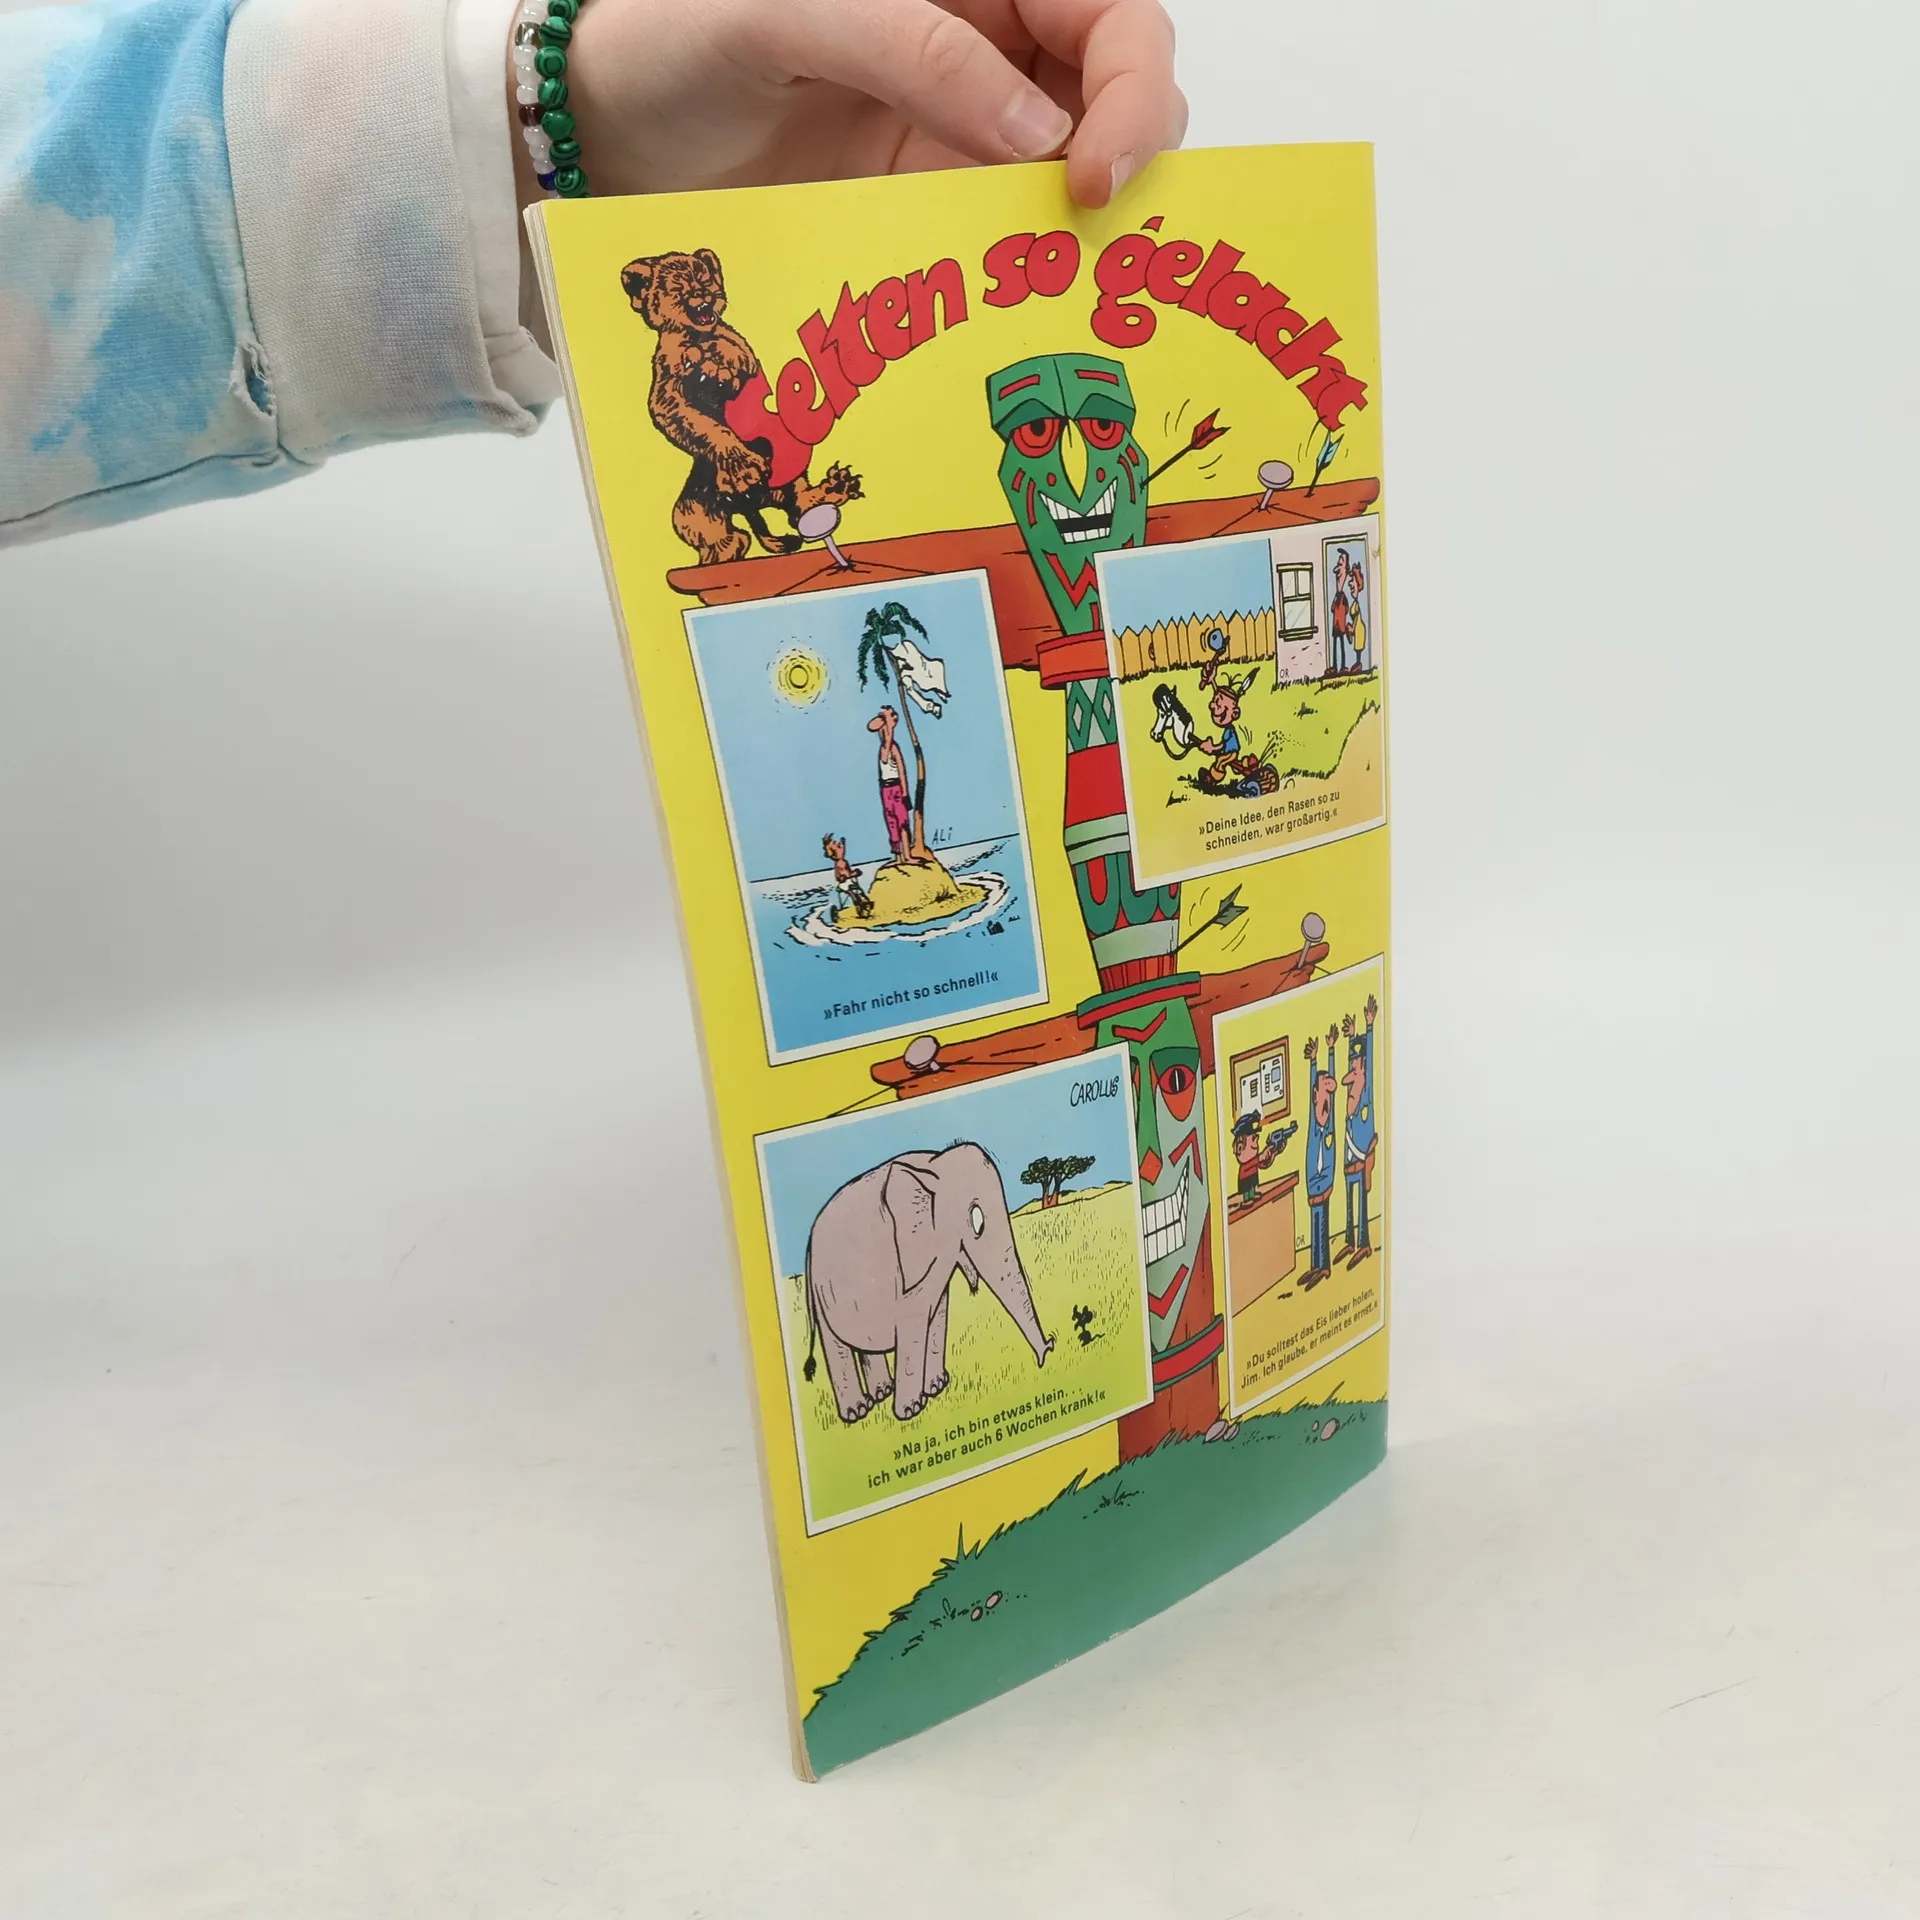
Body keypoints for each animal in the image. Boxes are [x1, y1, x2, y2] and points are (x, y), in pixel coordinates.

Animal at [801, 1142, 1052, 1423]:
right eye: (976, 1219)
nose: (1048, 1349)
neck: (934, 1164)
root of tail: (808, 1247)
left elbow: (938, 1315)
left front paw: (937, 1387)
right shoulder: (903, 1270)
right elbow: (913, 1323)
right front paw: (911, 1411)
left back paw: (882, 1393)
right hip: (819, 1293)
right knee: (836, 1344)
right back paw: (857, 1412)